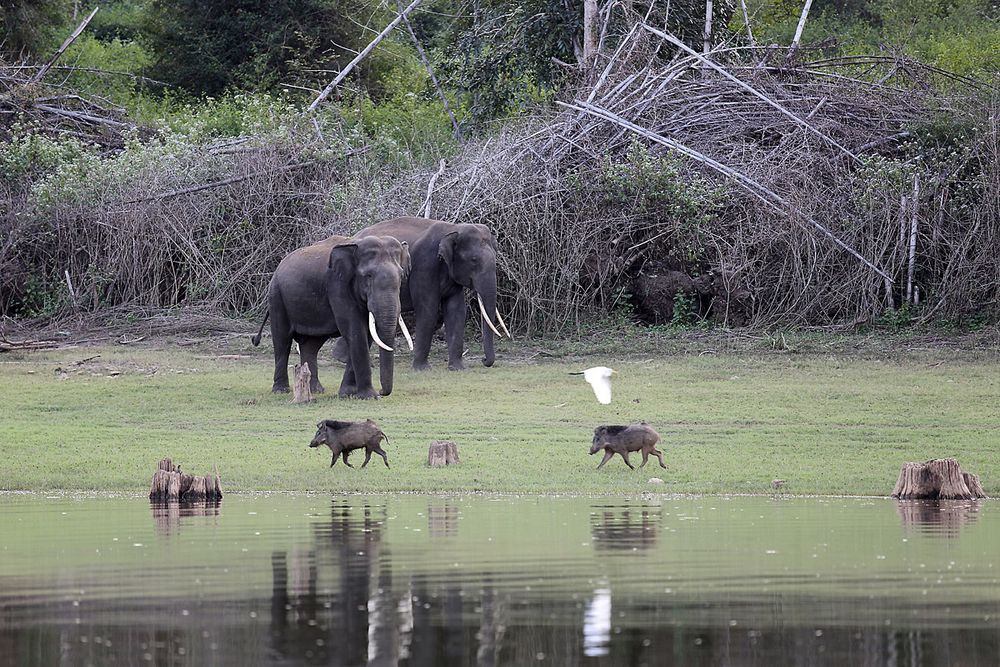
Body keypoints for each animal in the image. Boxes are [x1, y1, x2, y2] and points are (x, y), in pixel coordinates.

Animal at [252, 236, 412, 400]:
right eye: (368, 276)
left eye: (401, 276)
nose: (381, 392)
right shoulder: (336, 285)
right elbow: (354, 330)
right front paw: (369, 396)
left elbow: (365, 335)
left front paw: (348, 393)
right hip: (276, 297)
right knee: (282, 340)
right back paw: (281, 390)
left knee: (311, 345)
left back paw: (315, 390)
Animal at [336, 220, 512, 374]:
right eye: (474, 260)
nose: (483, 360)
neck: (453, 228)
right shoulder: (424, 265)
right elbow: (428, 310)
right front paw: (422, 369)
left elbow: (456, 311)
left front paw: (457, 369)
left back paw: (342, 358)